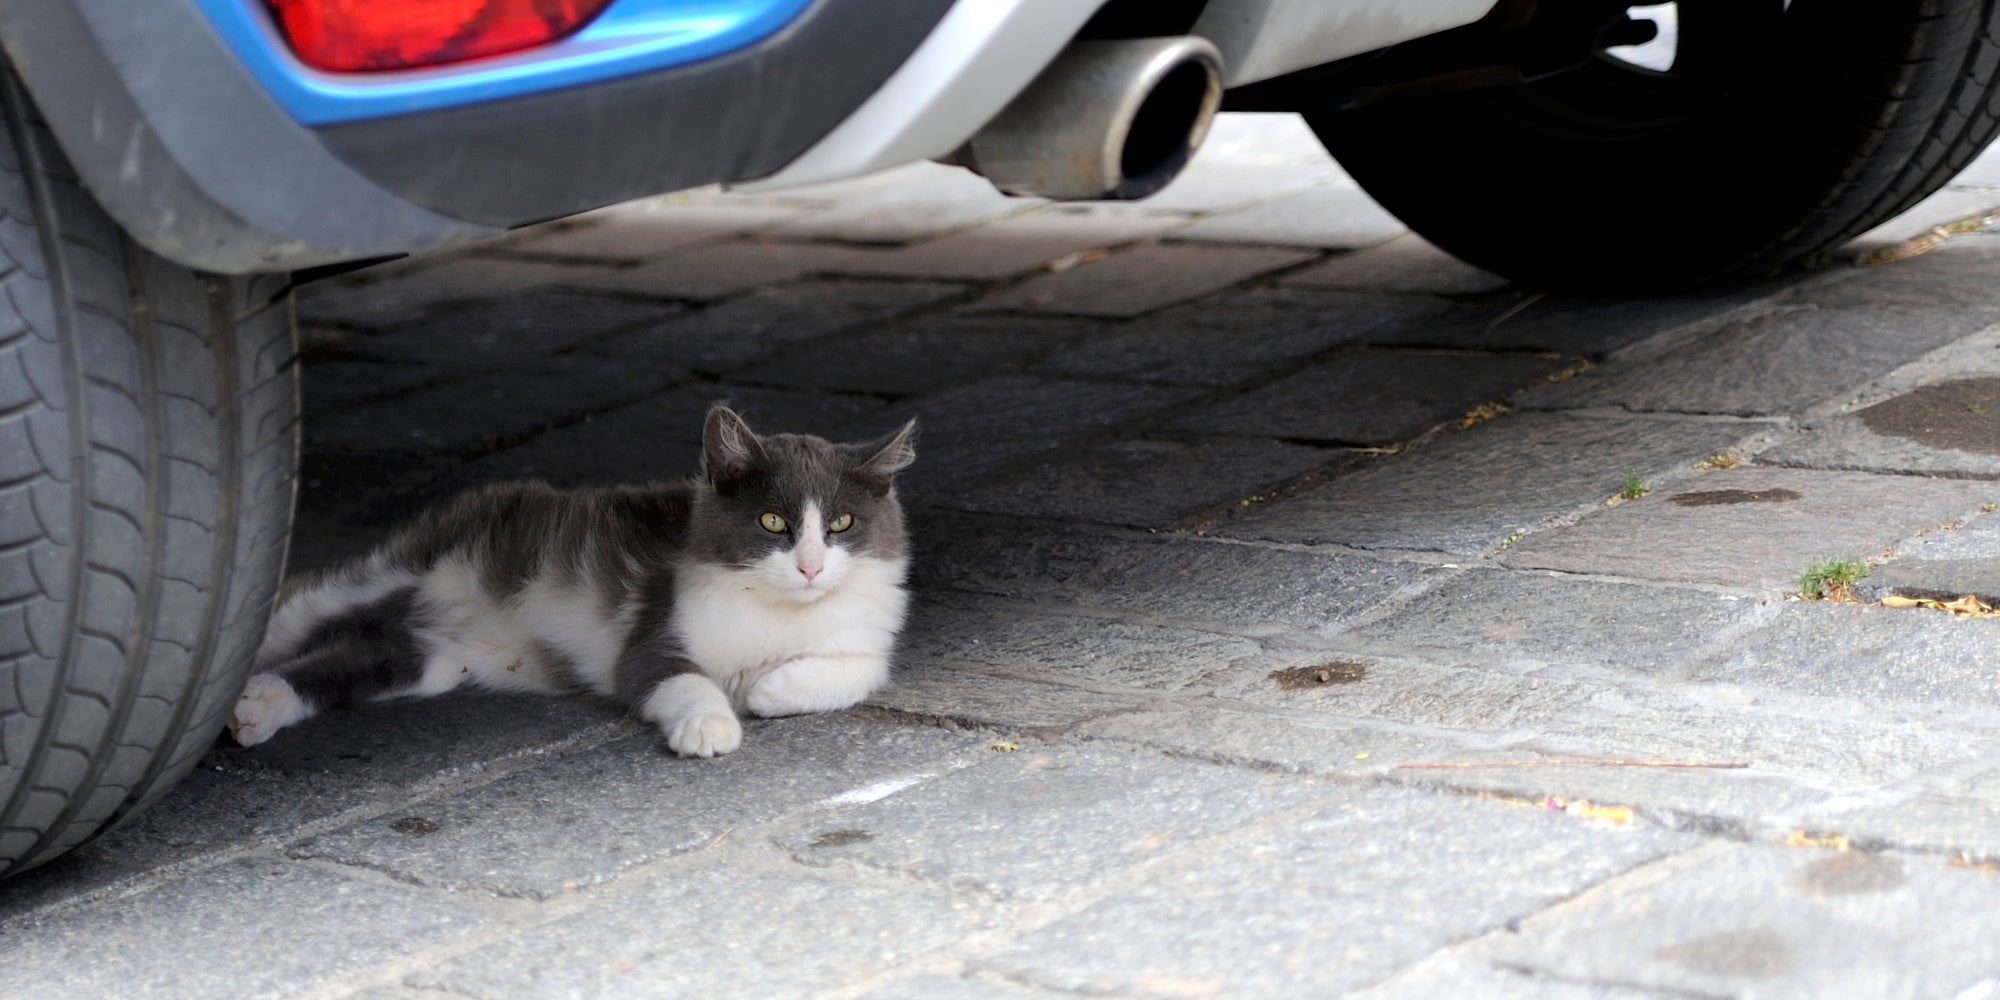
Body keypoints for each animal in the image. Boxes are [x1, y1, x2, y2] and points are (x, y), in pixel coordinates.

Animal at [230, 406, 916, 756]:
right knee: (299, 615)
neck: (779, 610)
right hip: (403, 568)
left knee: (354, 664)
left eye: (842, 523)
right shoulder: (656, 630)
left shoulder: (866, 637)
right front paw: (711, 724)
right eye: (772, 521)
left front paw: (769, 689)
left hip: (435, 658)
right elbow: (680, 678)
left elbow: (857, 672)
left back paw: (260, 705)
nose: (810, 567)